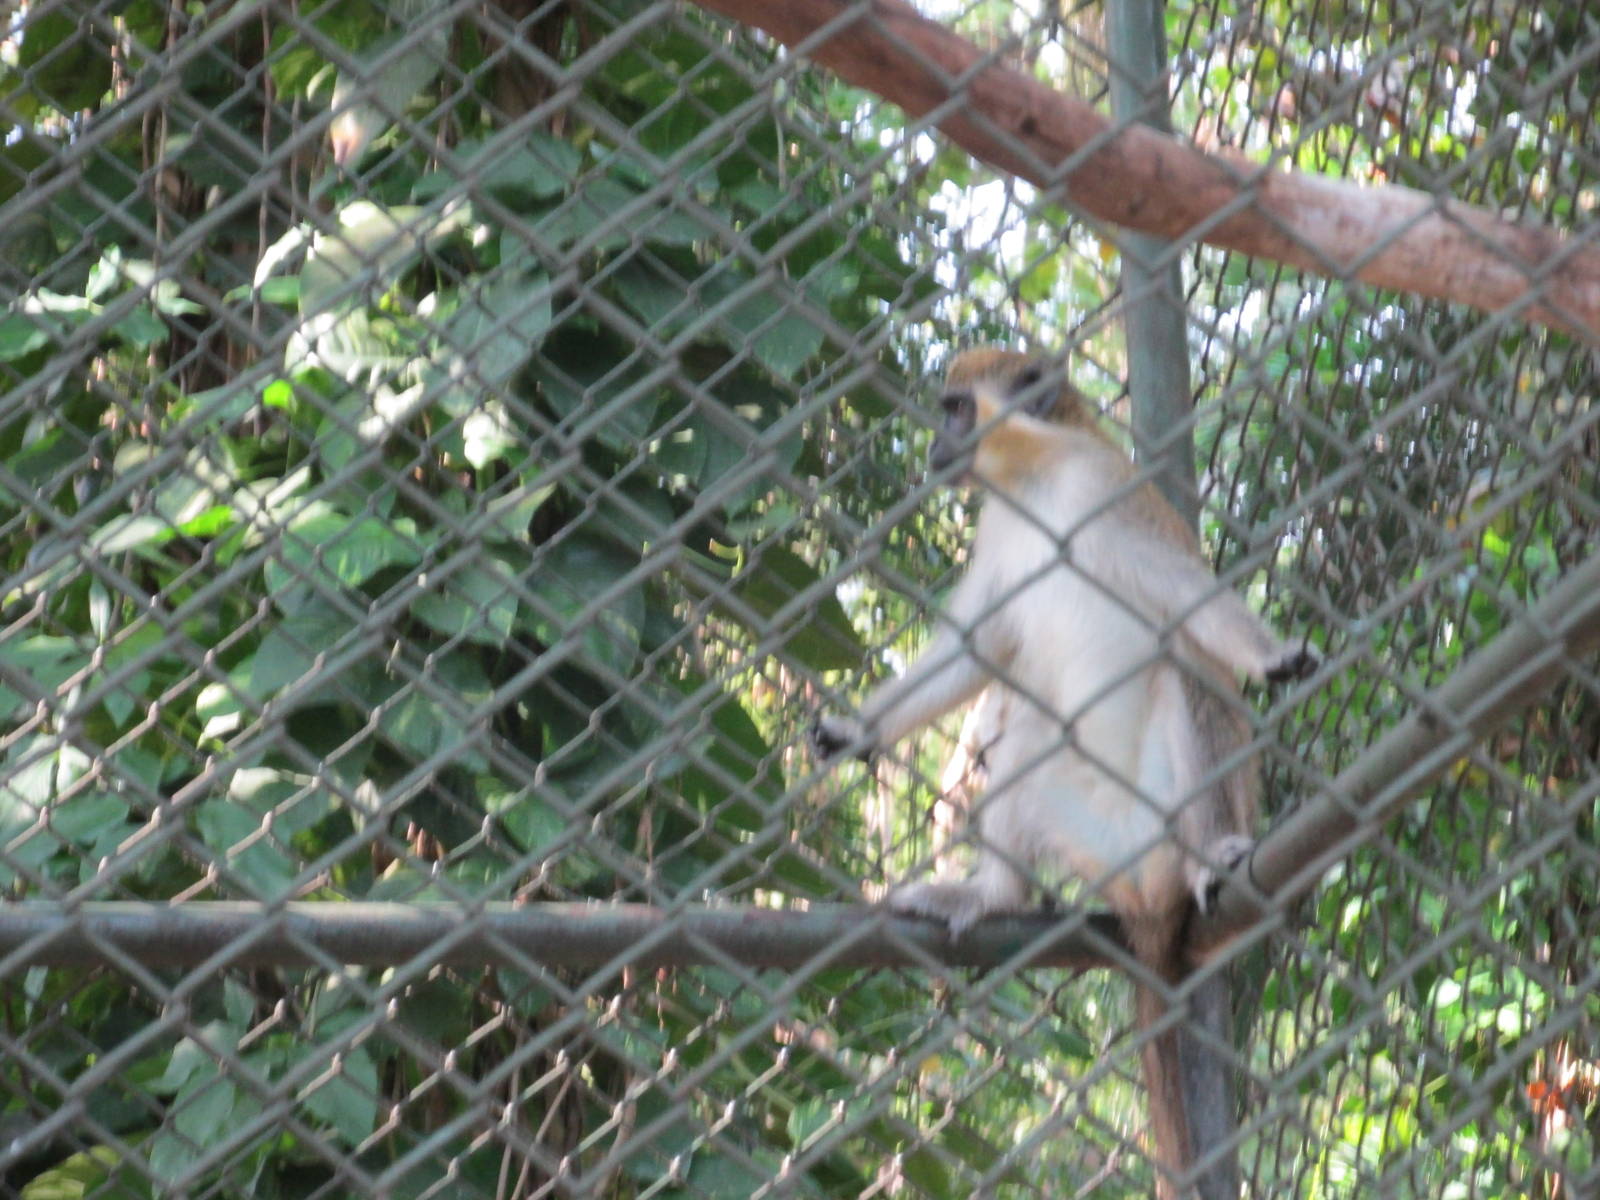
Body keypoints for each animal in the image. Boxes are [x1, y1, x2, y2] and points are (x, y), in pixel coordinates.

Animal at [812, 348, 1315, 1197]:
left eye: (955, 409)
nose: (935, 445)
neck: (1032, 478)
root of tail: (1145, 894)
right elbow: (973, 649)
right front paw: (857, 730)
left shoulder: (1099, 489)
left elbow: (1185, 601)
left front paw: (1271, 651)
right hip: (1084, 834)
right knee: (1027, 748)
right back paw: (995, 895)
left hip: (1168, 817)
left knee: (1187, 667)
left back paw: (1212, 851)